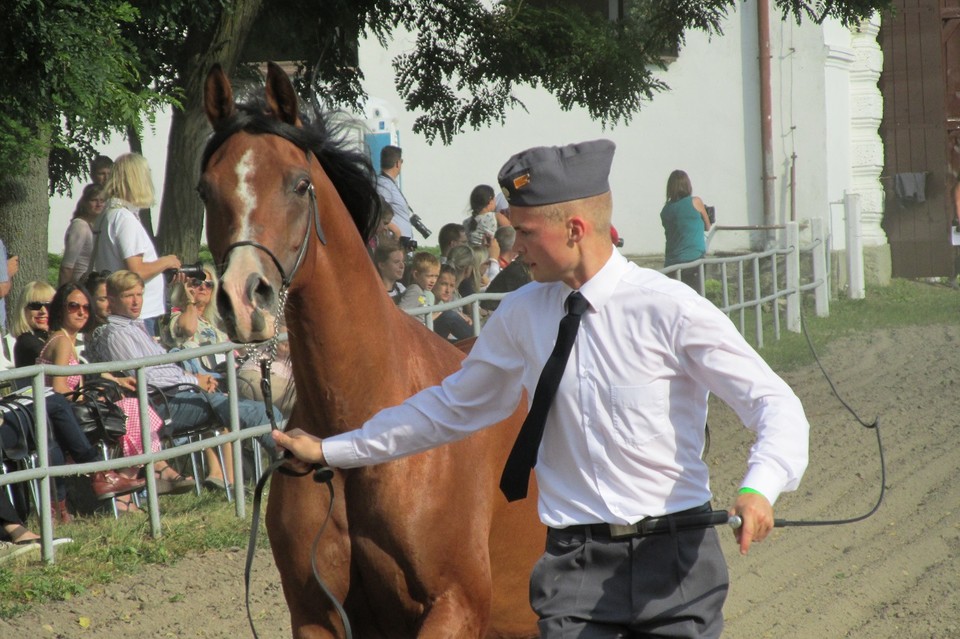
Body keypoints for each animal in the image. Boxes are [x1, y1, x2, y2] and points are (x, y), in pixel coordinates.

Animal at [201, 61, 548, 639]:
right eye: (206, 190)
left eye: (300, 184)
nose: (242, 300)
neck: (358, 436)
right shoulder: (315, 615)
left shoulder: (456, 606)